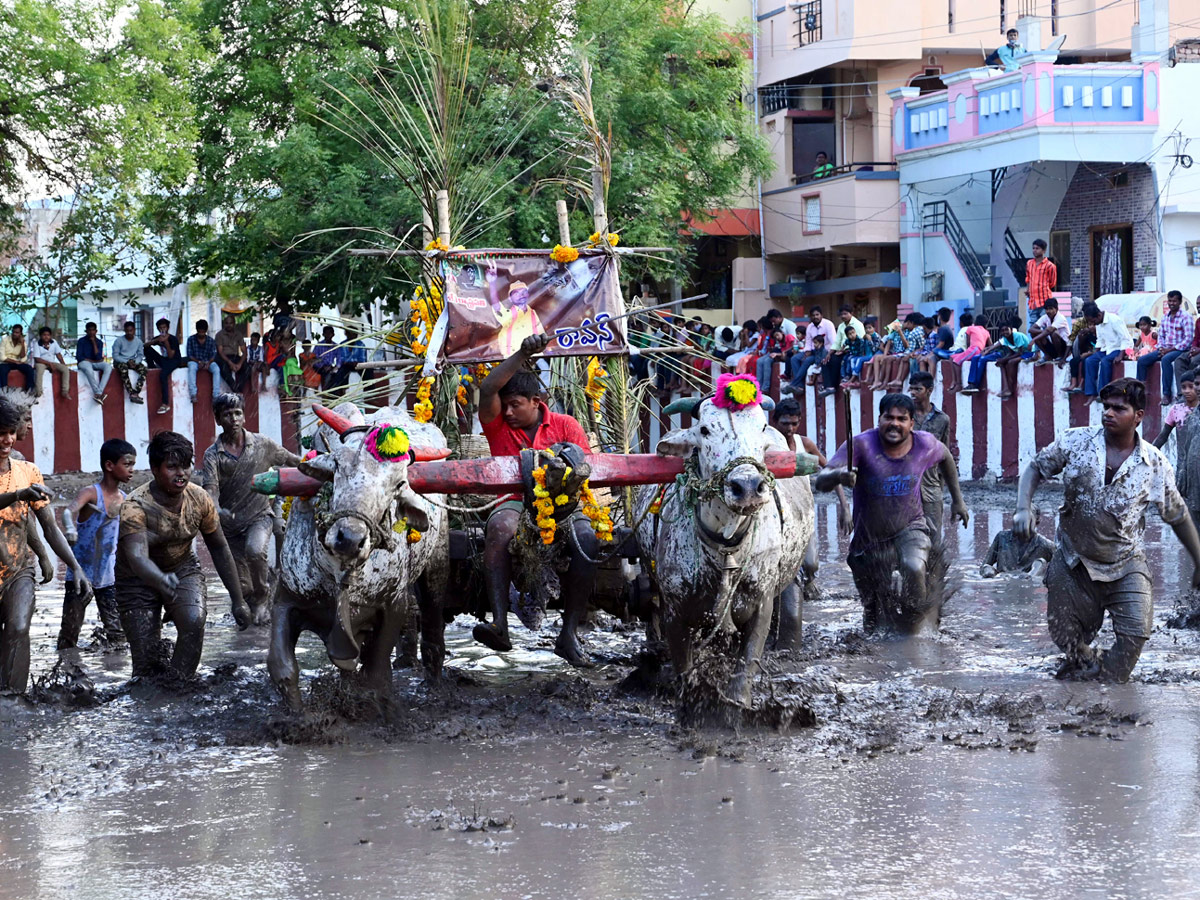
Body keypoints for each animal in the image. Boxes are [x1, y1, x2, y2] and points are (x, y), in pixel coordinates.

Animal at [267, 403, 451, 710]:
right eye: (338, 465)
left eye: (399, 483)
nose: (349, 538)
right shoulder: (286, 598)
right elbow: (282, 668)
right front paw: (298, 716)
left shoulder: (393, 606)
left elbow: (376, 675)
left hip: (437, 565)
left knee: (433, 618)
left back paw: (435, 684)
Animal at [638, 393, 816, 710]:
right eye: (705, 429)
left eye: (761, 426)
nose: (747, 487)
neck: (726, 545)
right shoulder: (676, 611)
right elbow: (685, 669)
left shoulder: (761, 602)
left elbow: (745, 665)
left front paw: (738, 704)